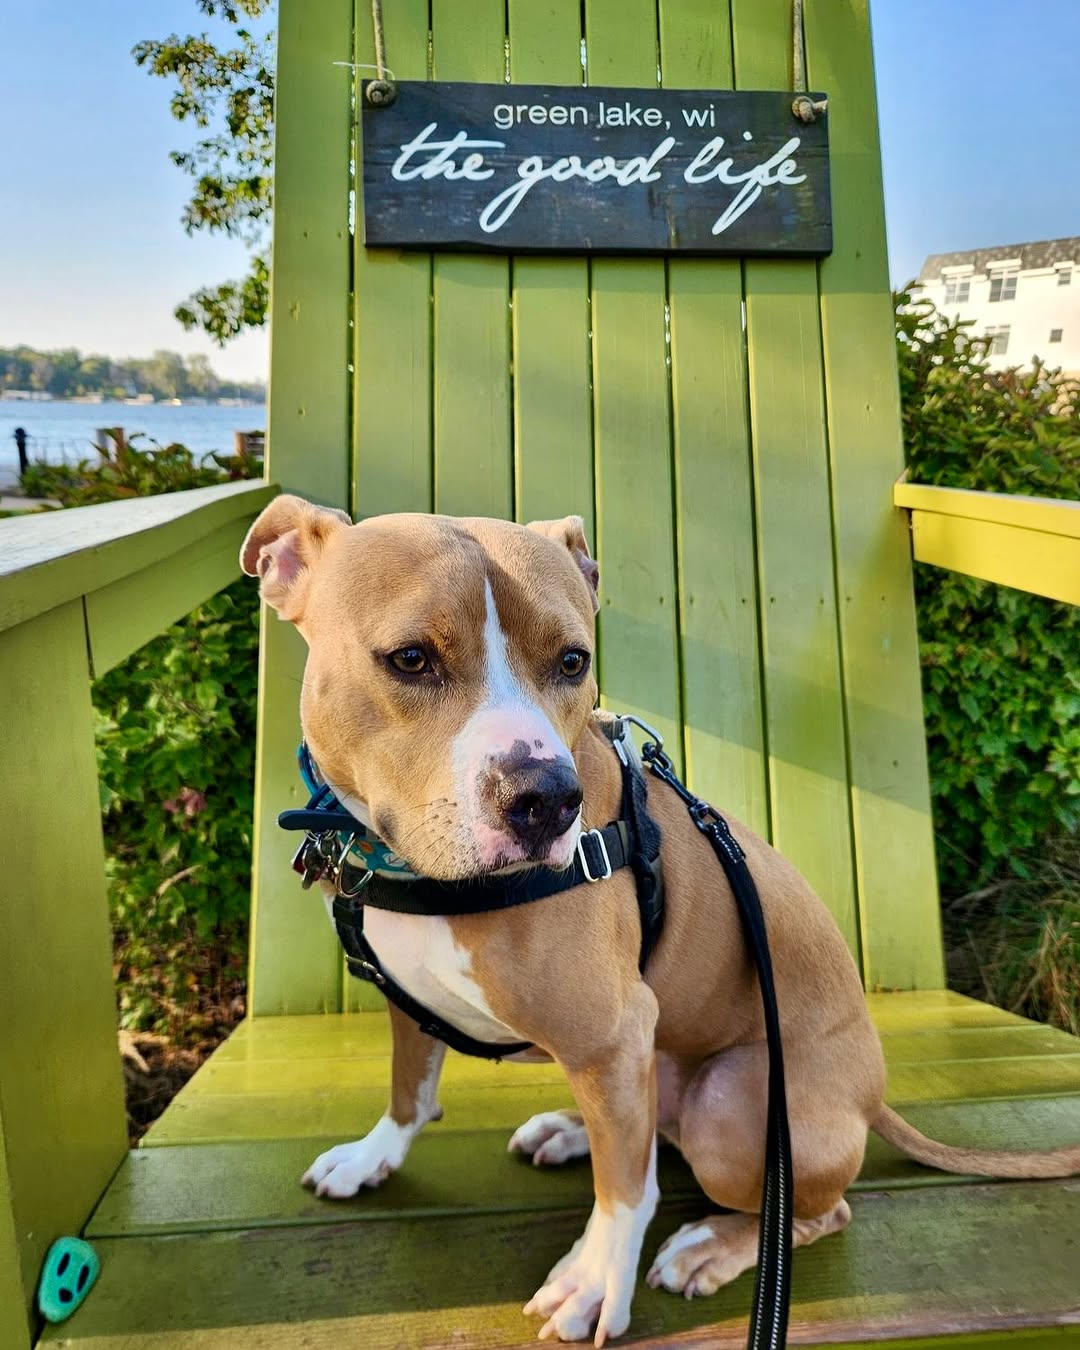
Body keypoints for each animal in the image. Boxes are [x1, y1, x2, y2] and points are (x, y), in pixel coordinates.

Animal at [240, 494, 1074, 1339]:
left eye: (572, 661)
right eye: (410, 659)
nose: (548, 800)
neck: (407, 865)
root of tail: (873, 1098)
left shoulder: (618, 1028)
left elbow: (624, 1197)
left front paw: (594, 1281)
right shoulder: (414, 1004)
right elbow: (410, 1091)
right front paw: (372, 1155)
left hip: (729, 1106)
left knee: (807, 1206)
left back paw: (710, 1244)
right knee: (647, 1136)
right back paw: (571, 1130)